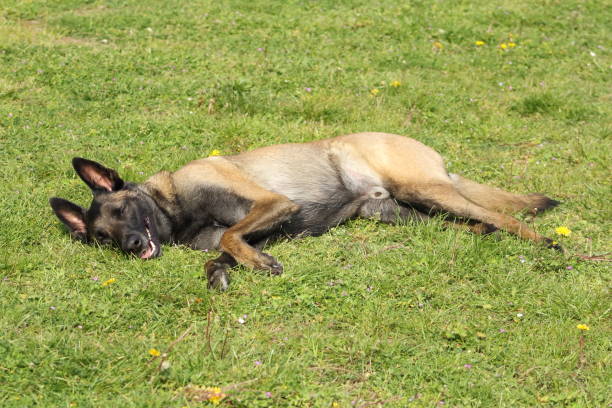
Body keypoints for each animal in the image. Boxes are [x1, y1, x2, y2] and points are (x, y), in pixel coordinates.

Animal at [50, 132, 560, 288]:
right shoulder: (259, 227)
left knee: (503, 217)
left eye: (121, 209)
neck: (175, 204)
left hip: (422, 187)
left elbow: (233, 235)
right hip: (399, 211)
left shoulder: (273, 204)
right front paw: (222, 274)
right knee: (470, 223)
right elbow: (225, 251)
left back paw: (546, 244)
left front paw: (258, 265)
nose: (132, 244)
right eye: (101, 236)